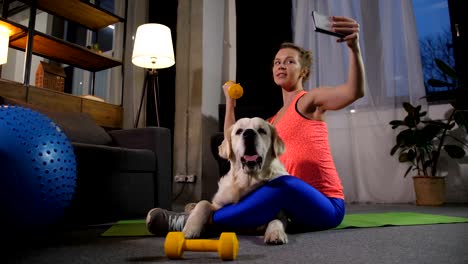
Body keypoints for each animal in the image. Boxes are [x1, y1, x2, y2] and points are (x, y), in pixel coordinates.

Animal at [183, 116, 288, 244]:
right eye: (239, 131)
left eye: (262, 130)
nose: (249, 133)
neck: (248, 180)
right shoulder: (218, 206)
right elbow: (204, 204)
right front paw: (191, 227)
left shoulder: (281, 212)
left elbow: (277, 220)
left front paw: (275, 233)